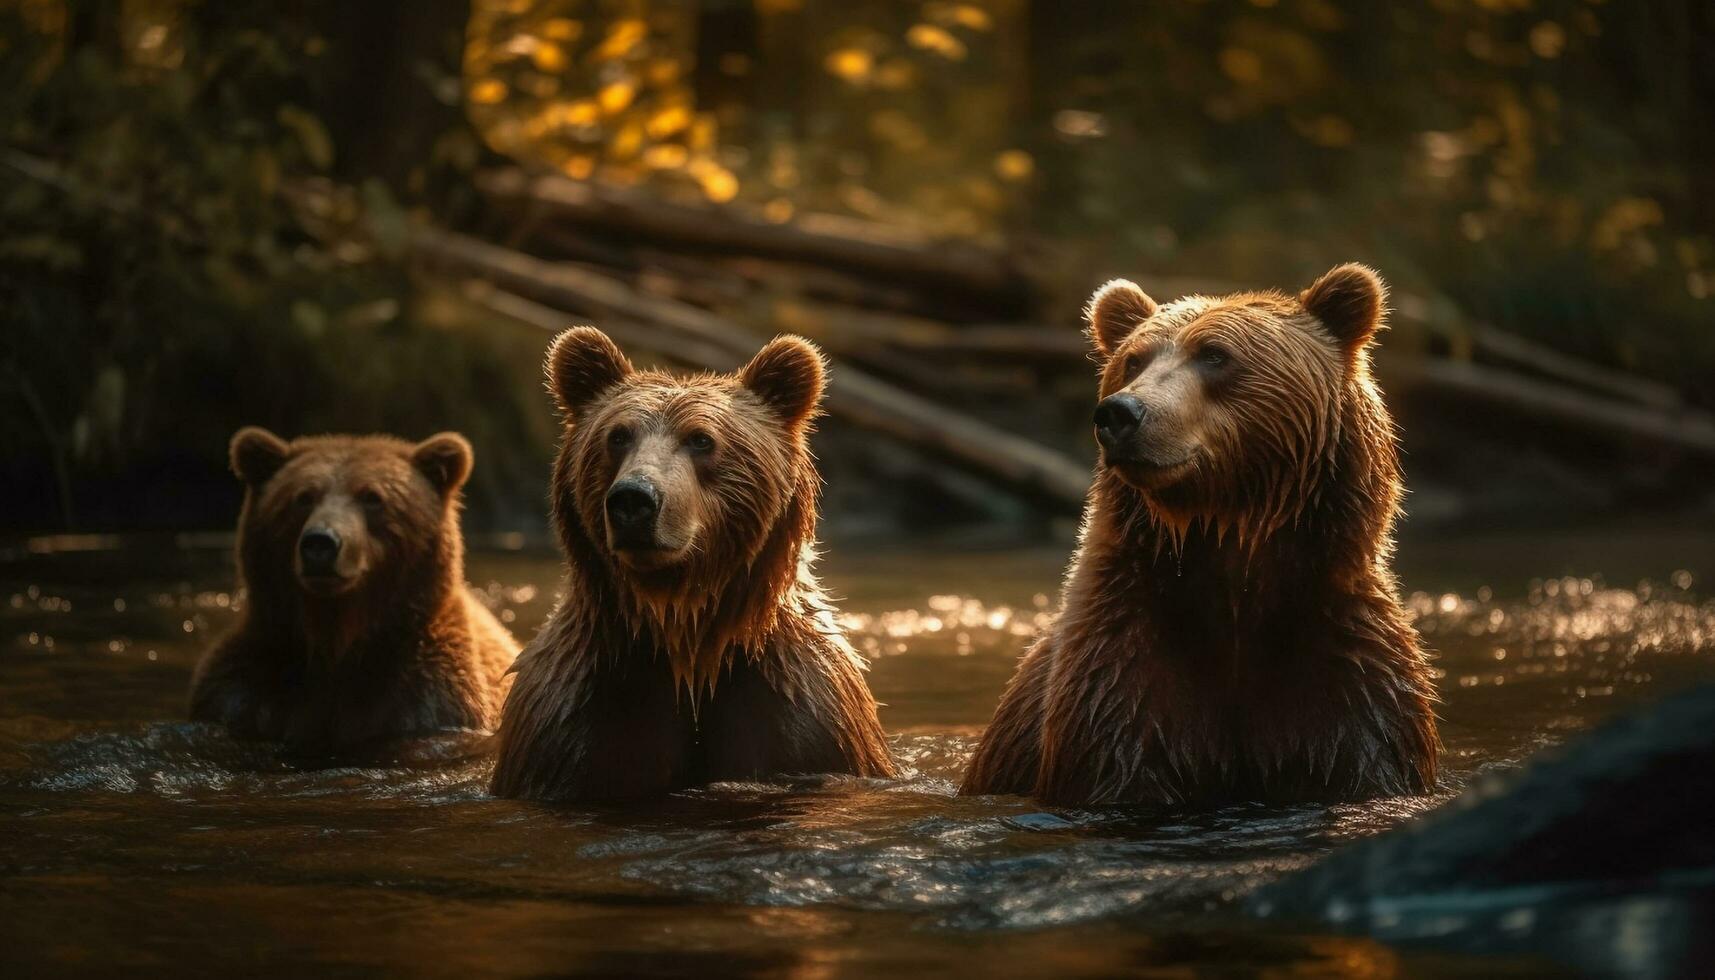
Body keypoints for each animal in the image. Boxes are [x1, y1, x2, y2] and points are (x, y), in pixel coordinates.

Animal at [490, 326, 898, 799]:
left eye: (701, 438)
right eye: (618, 435)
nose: (634, 500)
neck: (684, 637)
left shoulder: (799, 716)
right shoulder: (579, 719)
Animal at [967, 262, 1433, 806]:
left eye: (1215, 354)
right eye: (1133, 360)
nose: (1120, 413)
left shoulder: (1348, 667)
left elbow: (1362, 746)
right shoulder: (1118, 666)